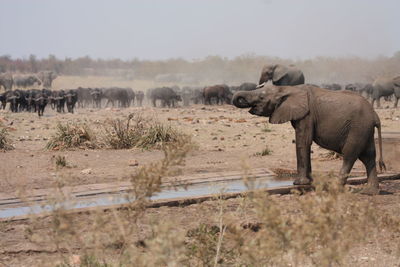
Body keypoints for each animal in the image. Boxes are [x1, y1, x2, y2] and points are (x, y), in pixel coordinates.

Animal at [233, 85, 386, 196]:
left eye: (261, 97)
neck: (287, 88)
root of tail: (375, 115)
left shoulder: (306, 116)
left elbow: (303, 142)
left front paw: (299, 183)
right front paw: (310, 182)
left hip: (357, 128)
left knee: (350, 155)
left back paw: (334, 188)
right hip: (364, 130)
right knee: (368, 157)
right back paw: (369, 192)